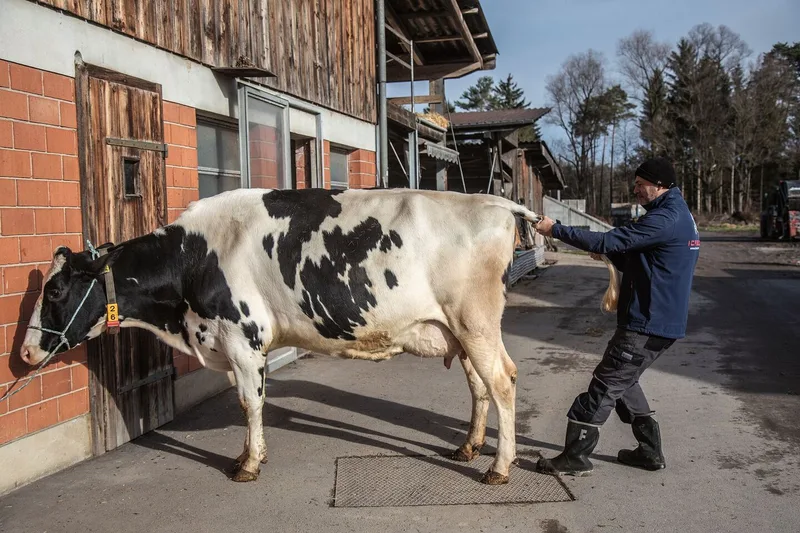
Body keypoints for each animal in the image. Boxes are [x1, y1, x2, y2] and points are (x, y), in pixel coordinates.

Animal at [19, 187, 616, 485]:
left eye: (56, 291)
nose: (24, 351)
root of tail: (494, 202)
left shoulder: (242, 339)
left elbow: (250, 404)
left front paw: (248, 464)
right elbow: (252, 403)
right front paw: (251, 457)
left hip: (475, 320)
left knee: (504, 382)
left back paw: (499, 467)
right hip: (462, 330)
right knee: (480, 385)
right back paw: (469, 447)